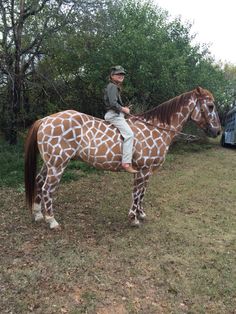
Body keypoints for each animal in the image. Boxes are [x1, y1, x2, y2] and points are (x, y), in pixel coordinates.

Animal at [24, 86, 222, 228]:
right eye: (210, 106)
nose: (217, 131)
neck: (157, 128)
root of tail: (45, 120)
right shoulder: (143, 170)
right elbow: (137, 193)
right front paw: (133, 218)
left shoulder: (145, 171)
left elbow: (141, 192)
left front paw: (140, 214)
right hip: (58, 165)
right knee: (47, 188)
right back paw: (51, 220)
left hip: (49, 164)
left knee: (39, 181)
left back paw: (38, 214)